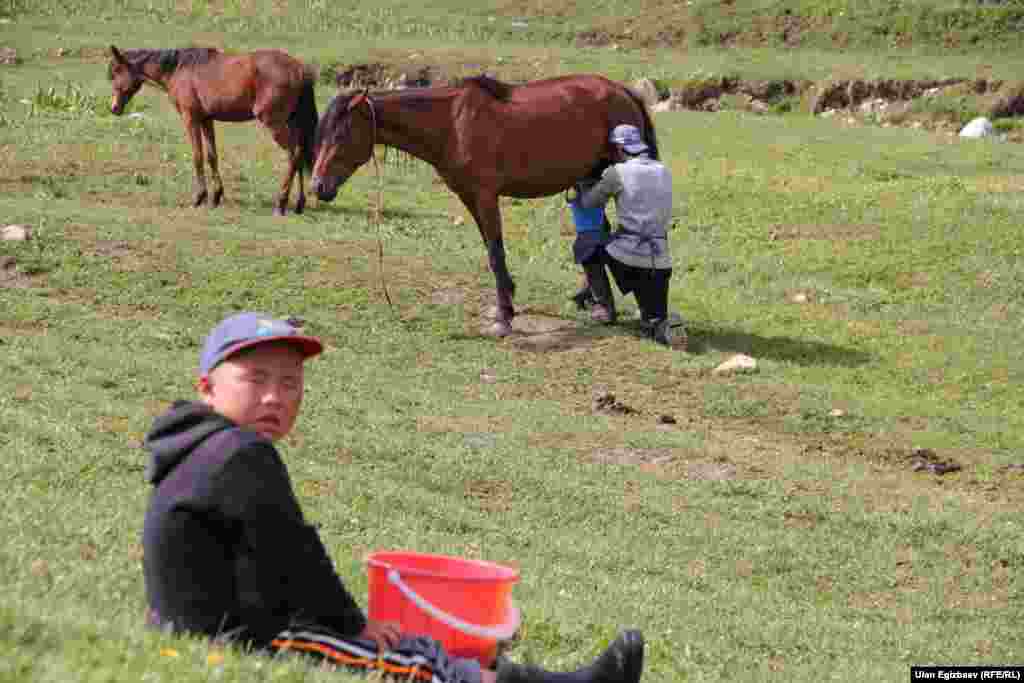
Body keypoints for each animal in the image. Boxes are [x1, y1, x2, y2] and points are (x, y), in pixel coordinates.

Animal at [107, 46, 315, 214]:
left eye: (117, 71)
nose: (114, 108)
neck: (179, 69)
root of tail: (299, 69)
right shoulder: (206, 120)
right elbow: (211, 156)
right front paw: (216, 196)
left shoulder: (191, 119)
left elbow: (197, 156)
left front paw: (200, 197)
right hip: (290, 123)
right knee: (299, 156)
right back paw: (299, 203)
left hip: (274, 123)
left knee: (294, 155)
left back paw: (281, 202)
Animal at [309, 74, 655, 335]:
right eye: (322, 133)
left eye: (341, 134)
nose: (317, 187)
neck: (451, 124)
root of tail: (622, 90)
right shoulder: (470, 197)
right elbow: (491, 249)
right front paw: (506, 302)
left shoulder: (486, 196)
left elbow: (495, 251)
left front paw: (504, 316)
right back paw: (592, 299)